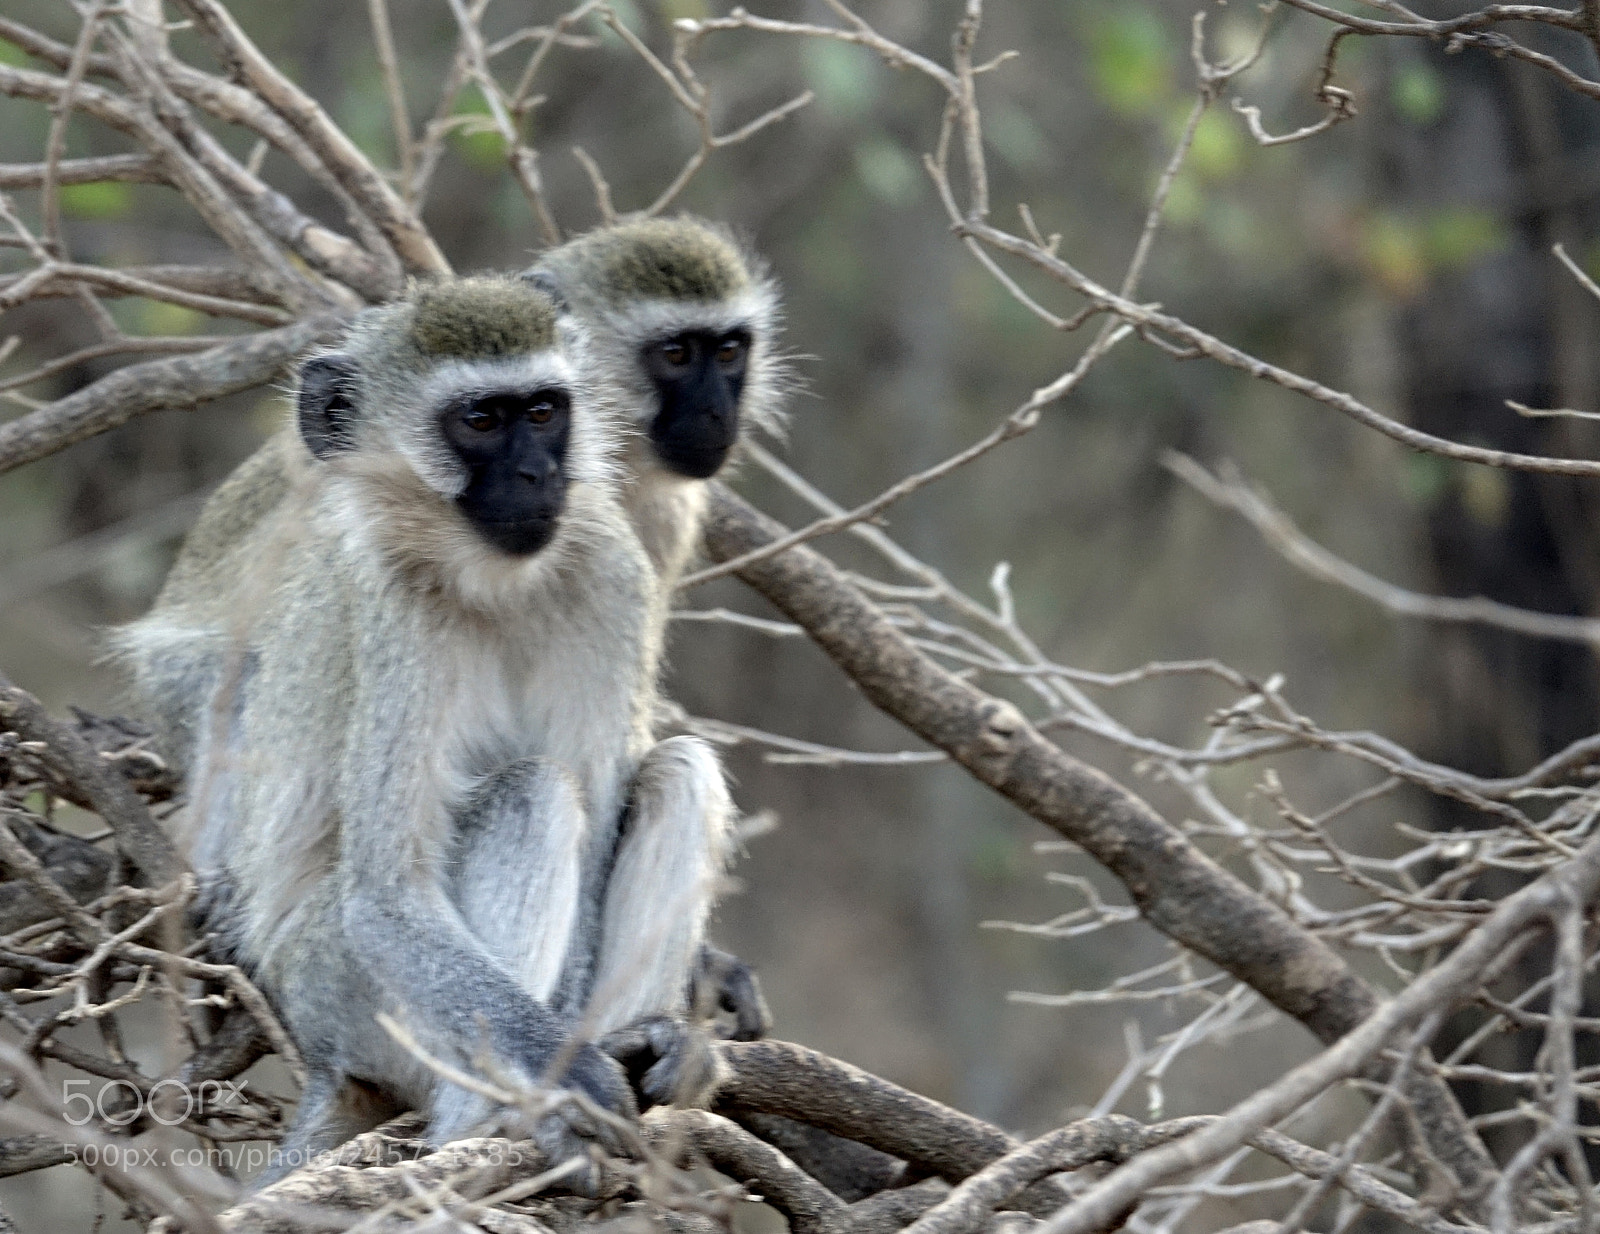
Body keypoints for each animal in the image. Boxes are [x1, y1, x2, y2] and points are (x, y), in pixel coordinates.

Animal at [115, 275, 739, 1178]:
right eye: (480, 421)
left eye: (544, 411)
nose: (539, 473)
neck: (495, 578)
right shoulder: (395, 610)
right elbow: (387, 895)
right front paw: (572, 1074)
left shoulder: (611, 570)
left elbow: (599, 838)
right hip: (340, 993)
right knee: (529, 794)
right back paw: (489, 1127)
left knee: (678, 770)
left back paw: (636, 1048)